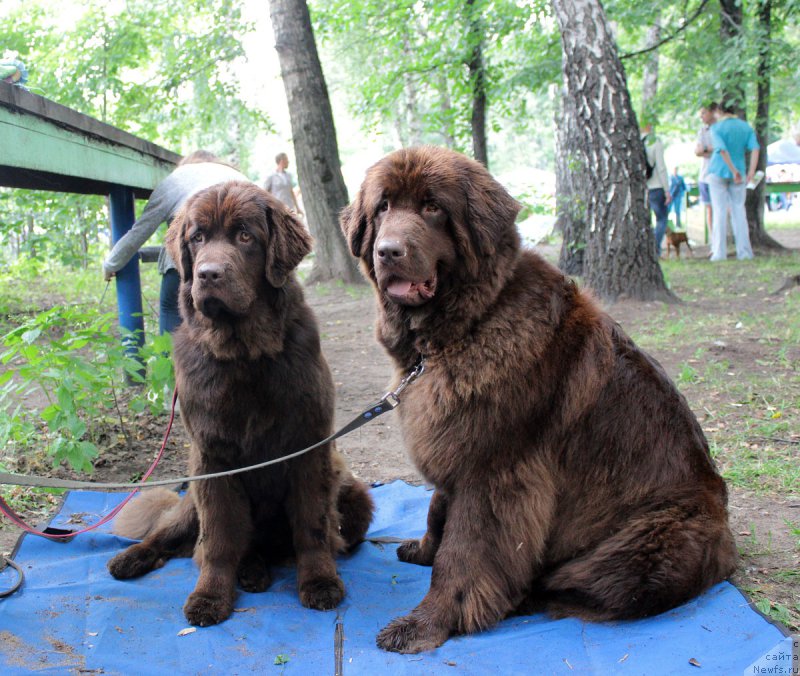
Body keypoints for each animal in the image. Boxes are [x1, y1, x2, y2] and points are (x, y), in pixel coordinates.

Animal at [106, 181, 376, 628]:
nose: (208, 274)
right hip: (190, 498)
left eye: (246, 236)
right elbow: (218, 537)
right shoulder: (212, 458)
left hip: (356, 495)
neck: (244, 354)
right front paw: (210, 595)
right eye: (197, 238)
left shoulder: (309, 447)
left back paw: (256, 570)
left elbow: (312, 525)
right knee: (171, 535)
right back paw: (134, 558)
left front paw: (320, 582)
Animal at [340, 147, 736, 656]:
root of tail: (726, 543)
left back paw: (524, 595)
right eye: (383, 207)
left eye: (432, 208)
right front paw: (423, 550)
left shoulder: (495, 474)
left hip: (644, 545)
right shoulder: (457, 444)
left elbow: (464, 551)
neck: (464, 329)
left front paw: (428, 622)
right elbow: (437, 511)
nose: (388, 251)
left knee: (586, 584)